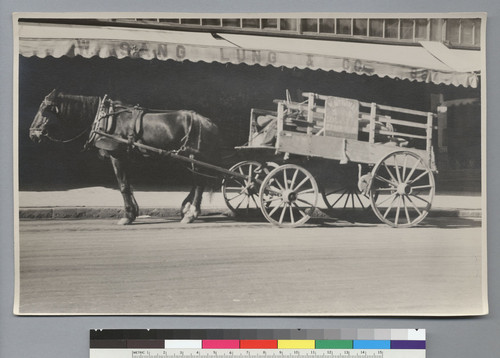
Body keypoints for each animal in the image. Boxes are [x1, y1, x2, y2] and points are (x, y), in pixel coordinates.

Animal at [28, 89, 220, 224]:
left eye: (44, 110)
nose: (32, 134)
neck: (103, 119)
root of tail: (208, 122)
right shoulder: (124, 158)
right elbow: (128, 185)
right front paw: (133, 212)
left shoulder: (117, 156)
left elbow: (123, 186)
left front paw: (127, 216)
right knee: (197, 182)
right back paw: (186, 208)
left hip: (195, 157)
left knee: (200, 184)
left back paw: (191, 213)